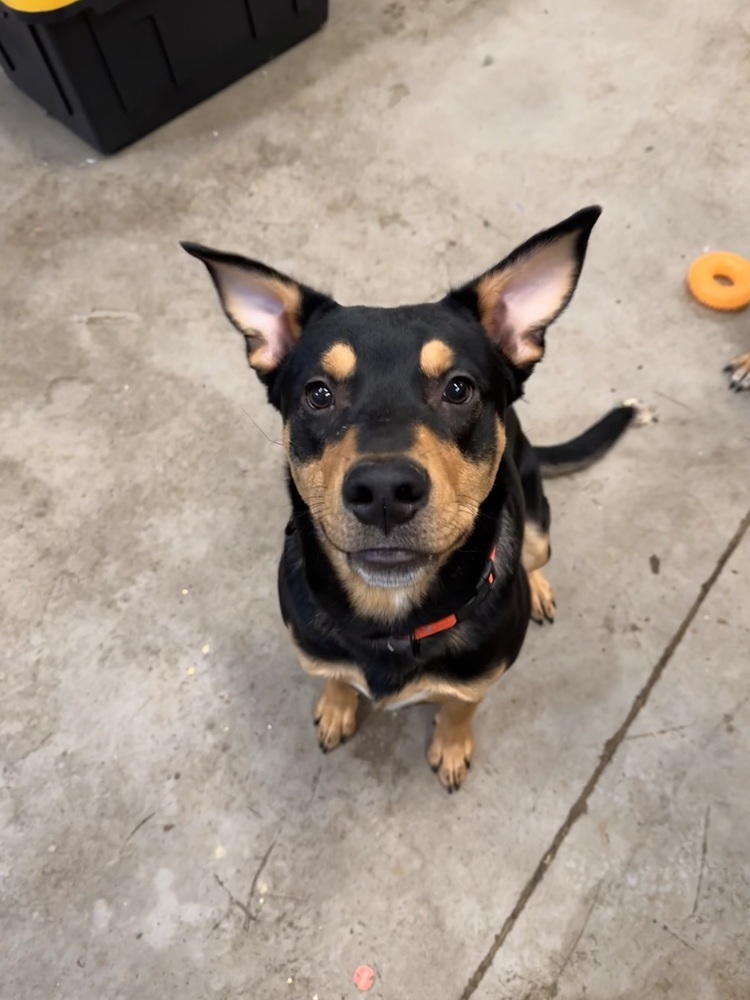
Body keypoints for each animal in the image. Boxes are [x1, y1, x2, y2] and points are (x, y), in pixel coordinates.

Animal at [182, 207, 636, 792]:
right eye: (318, 393)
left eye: (459, 389)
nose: (383, 491)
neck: (392, 620)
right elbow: (336, 677)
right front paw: (337, 704)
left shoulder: (480, 677)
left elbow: (461, 705)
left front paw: (451, 744)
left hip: (536, 525)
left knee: (536, 555)